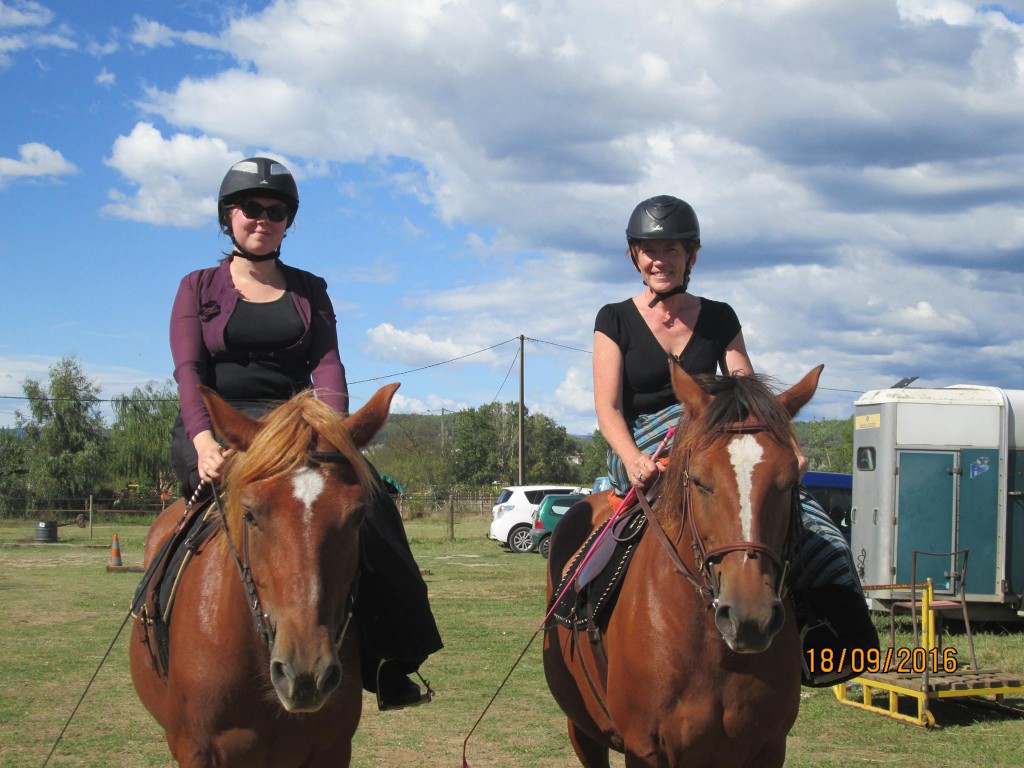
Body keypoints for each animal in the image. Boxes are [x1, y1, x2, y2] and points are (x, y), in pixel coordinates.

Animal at [544, 364, 823, 765]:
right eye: (701, 480)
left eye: (790, 481)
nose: (749, 618)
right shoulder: (645, 750)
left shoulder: (768, 748)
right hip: (582, 729)